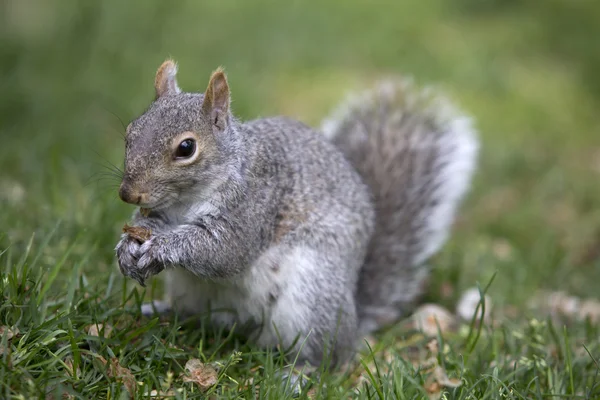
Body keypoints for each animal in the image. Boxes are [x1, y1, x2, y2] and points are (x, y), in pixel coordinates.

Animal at [113, 59, 478, 368]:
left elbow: (224, 251)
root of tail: (354, 316)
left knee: (328, 357)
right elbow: (150, 225)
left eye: (186, 148)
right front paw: (127, 249)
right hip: (191, 291)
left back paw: (299, 374)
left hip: (311, 299)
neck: (185, 202)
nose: (128, 193)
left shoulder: (255, 203)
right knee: (194, 315)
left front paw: (161, 247)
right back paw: (159, 311)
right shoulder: (164, 213)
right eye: (130, 130)